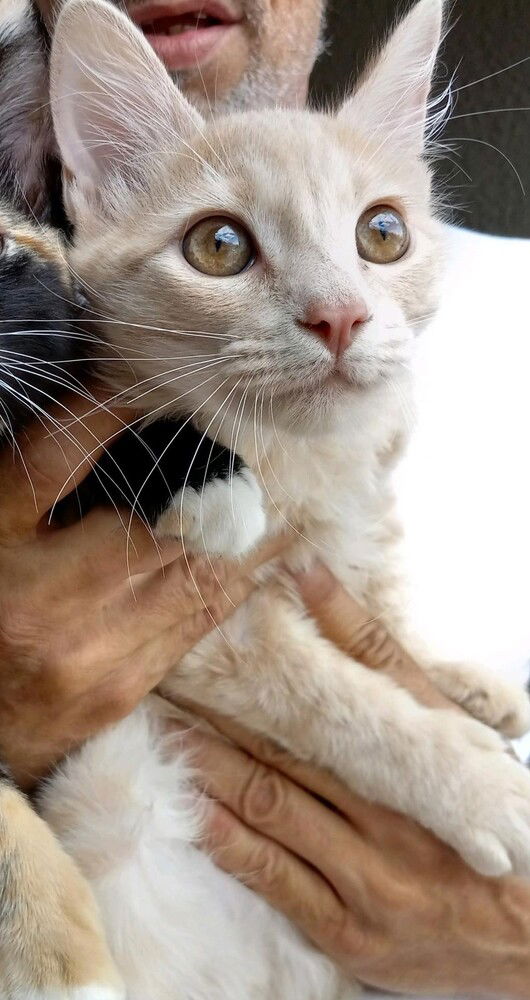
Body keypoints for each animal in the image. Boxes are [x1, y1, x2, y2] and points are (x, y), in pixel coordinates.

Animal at [32, 1, 530, 1000]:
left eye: (384, 234)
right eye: (218, 246)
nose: (340, 316)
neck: (306, 459)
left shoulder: (361, 521)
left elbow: (381, 622)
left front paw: (461, 685)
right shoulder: (183, 634)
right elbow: (327, 694)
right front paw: (473, 783)